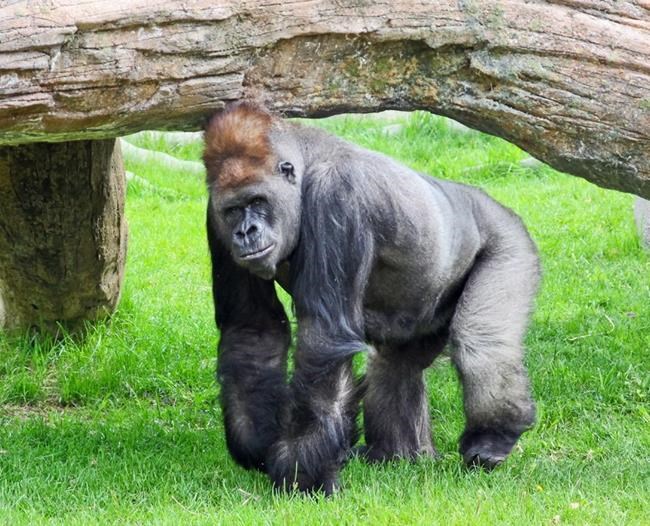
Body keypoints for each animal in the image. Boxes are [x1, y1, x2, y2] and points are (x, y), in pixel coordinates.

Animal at [203, 101, 540, 495]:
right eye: (233, 210)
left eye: (257, 201)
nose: (245, 232)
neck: (304, 164)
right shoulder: (214, 217)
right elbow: (253, 330)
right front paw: (257, 440)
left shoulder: (336, 197)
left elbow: (323, 342)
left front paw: (302, 467)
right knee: (396, 364)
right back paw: (397, 454)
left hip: (510, 239)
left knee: (481, 344)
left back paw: (492, 437)